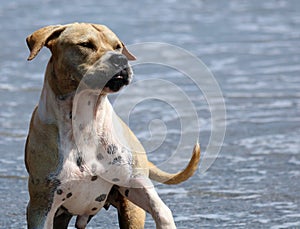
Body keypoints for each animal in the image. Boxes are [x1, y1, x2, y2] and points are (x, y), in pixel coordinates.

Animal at [25, 22, 199, 229]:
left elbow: (161, 210)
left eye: (117, 47)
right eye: (85, 44)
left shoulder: (134, 182)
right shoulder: (43, 206)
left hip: (131, 209)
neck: (85, 121)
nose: (120, 59)